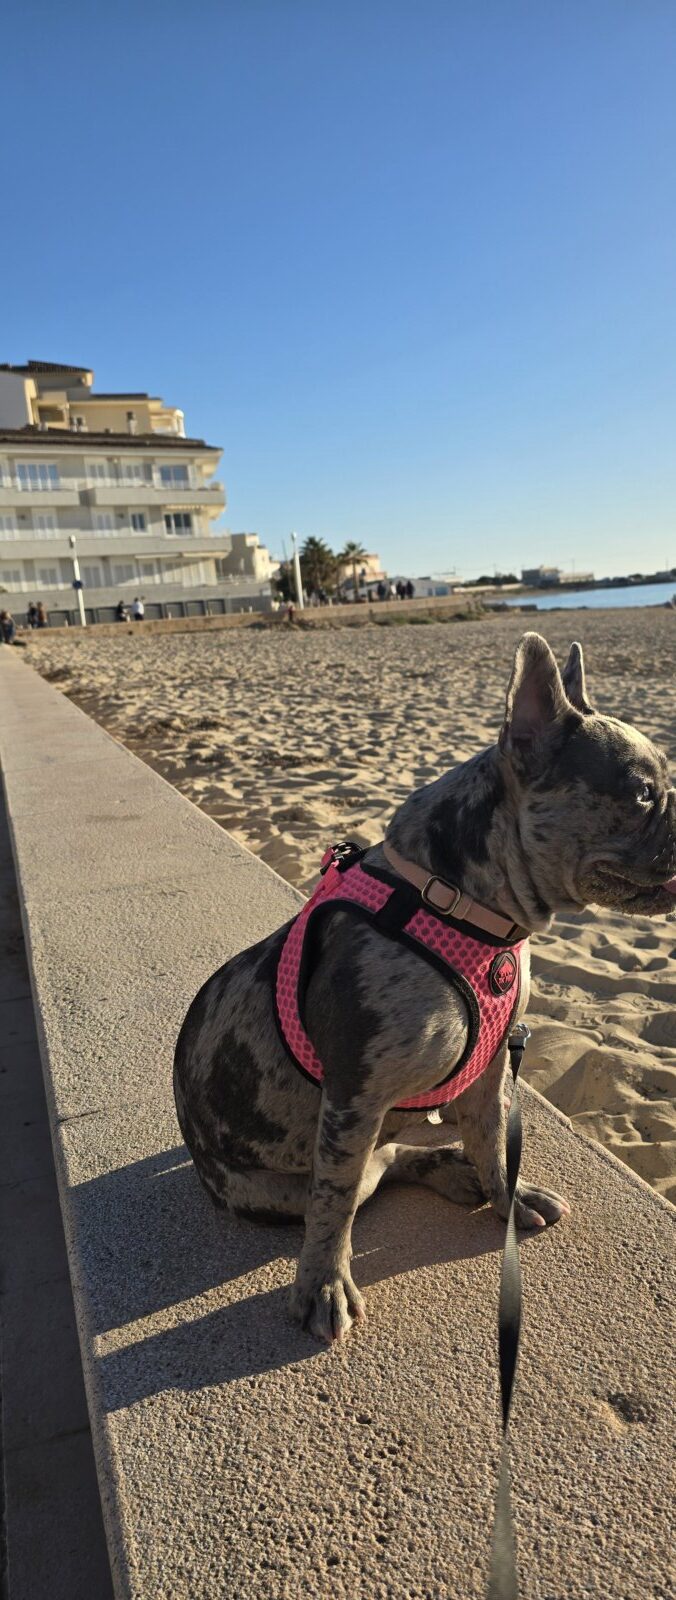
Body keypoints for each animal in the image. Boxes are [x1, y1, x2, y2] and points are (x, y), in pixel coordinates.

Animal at [174, 633, 676, 1343]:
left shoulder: (490, 1072)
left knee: (389, 1162)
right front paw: (322, 1283)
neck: (465, 906)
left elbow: (493, 1144)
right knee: (355, 1183)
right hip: (275, 1182)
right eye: (639, 795)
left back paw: (449, 1170)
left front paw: (505, 1198)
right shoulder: (354, 1097)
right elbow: (333, 1209)